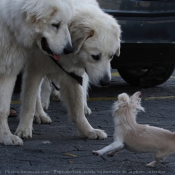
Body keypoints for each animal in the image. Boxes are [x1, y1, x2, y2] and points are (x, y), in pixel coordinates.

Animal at [0, 0, 73, 145]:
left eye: (67, 24)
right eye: (55, 25)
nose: (69, 49)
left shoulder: (8, 69)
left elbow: (3, 109)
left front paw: (6, 137)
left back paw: (39, 114)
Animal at [14, 0, 121, 141]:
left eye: (111, 56)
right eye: (95, 56)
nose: (106, 82)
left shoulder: (74, 76)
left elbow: (78, 109)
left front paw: (88, 131)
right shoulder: (35, 69)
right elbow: (29, 101)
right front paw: (24, 128)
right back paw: (40, 113)